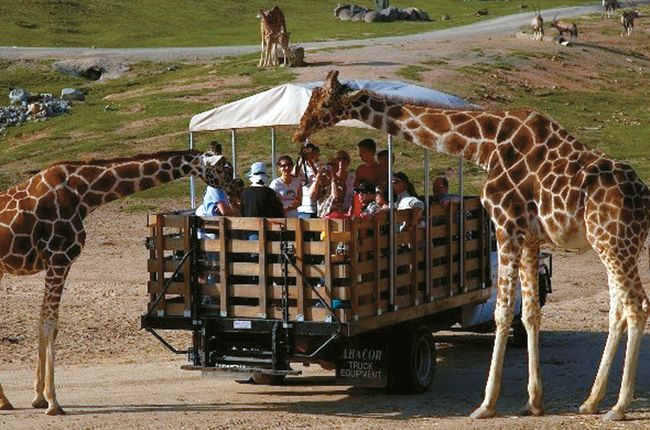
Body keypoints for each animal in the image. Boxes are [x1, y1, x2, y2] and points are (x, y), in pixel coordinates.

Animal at [0, 148, 230, 414]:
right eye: (224, 167)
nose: (237, 185)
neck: (84, 195)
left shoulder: (56, 263)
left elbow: (45, 324)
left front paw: (38, 397)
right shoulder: (59, 259)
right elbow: (49, 324)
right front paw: (53, 402)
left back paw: (5, 400)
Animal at [294, 69, 648, 420]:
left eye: (324, 104)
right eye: (311, 98)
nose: (299, 131)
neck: (484, 146)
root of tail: (644, 199)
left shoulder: (506, 225)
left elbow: (503, 311)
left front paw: (486, 404)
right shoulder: (530, 237)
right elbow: (530, 312)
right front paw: (533, 402)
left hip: (614, 241)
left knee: (637, 305)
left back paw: (618, 407)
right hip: (614, 245)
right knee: (617, 308)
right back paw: (592, 401)